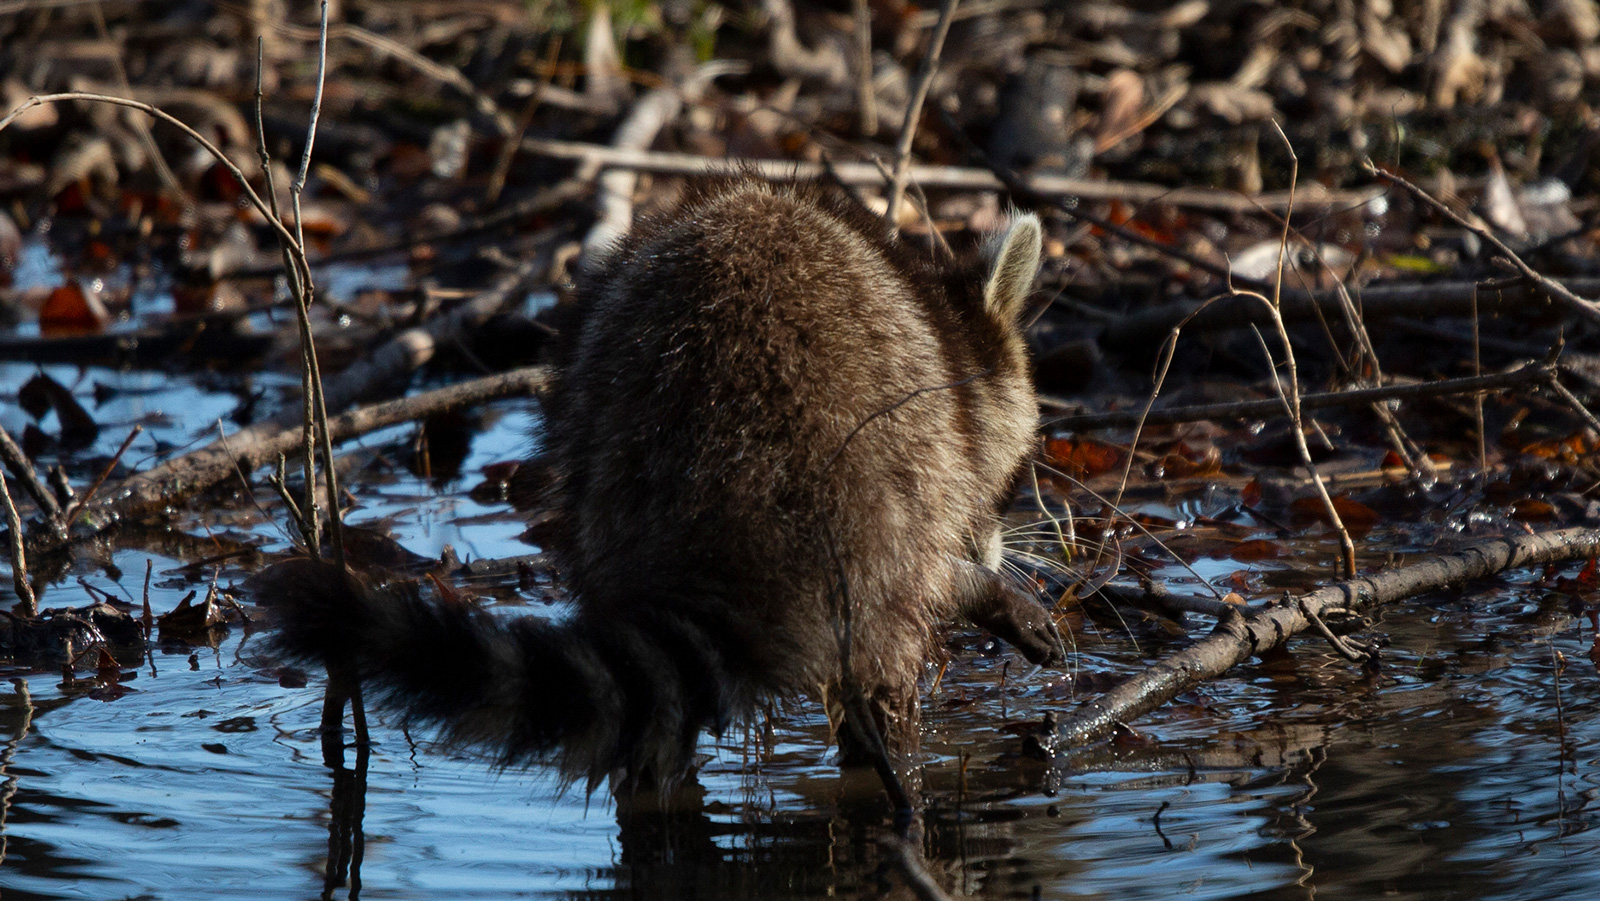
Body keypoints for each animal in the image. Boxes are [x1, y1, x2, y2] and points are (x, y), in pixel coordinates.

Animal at [264, 179, 1060, 790]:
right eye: (1014, 476)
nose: (994, 551)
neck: (944, 323)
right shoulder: (941, 451)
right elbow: (938, 570)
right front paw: (982, 588)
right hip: (886, 489)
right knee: (890, 678)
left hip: (615, 492)